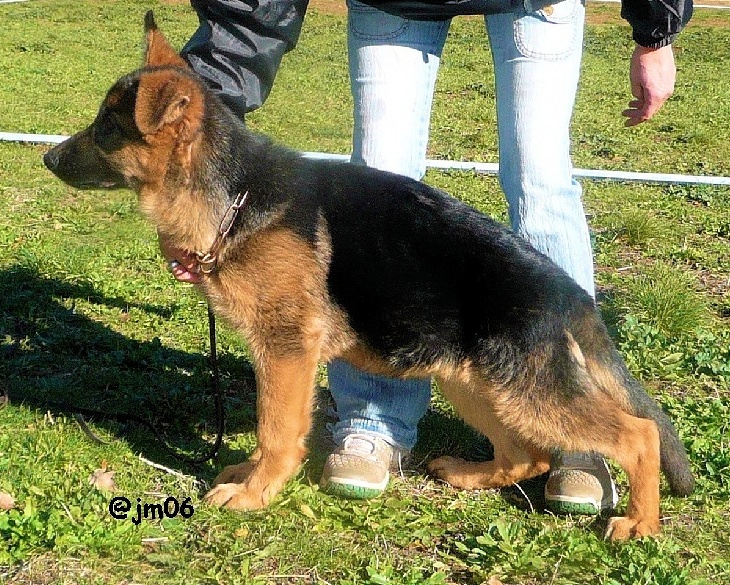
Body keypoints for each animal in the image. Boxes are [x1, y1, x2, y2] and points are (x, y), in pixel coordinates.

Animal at [42, 11, 692, 540]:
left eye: (106, 131)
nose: (46, 156)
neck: (234, 194)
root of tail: (569, 293)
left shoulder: (286, 351)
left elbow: (276, 428)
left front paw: (255, 493)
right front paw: (253, 478)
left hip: (526, 391)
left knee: (638, 435)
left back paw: (640, 522)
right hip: (475, 381)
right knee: (527, 455)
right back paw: (470, 474)